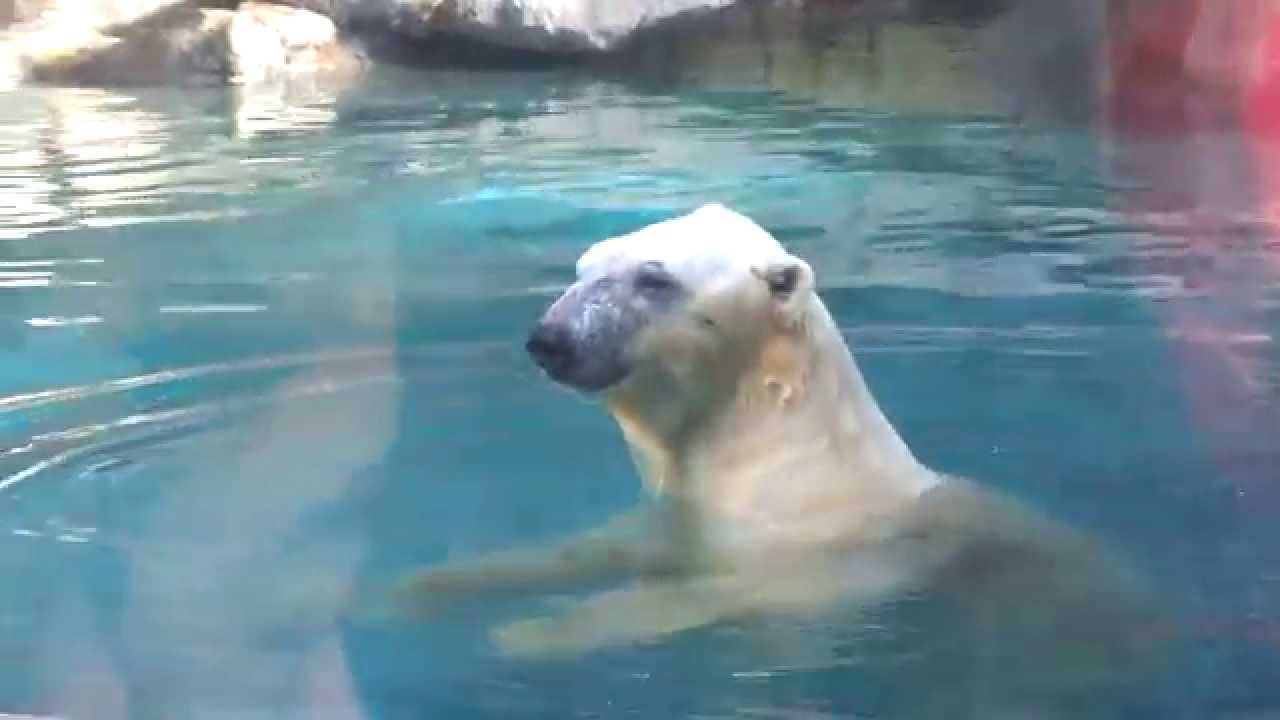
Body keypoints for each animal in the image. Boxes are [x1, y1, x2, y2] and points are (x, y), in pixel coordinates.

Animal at [386, 203, 1170, 713]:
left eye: (653, 277)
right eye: (582, 268)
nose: (549, 338)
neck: (779, 449)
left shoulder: (811, 551)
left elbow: (709, 590)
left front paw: (528, 632)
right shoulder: (688, 509)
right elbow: (603, 547)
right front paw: (424, 587)